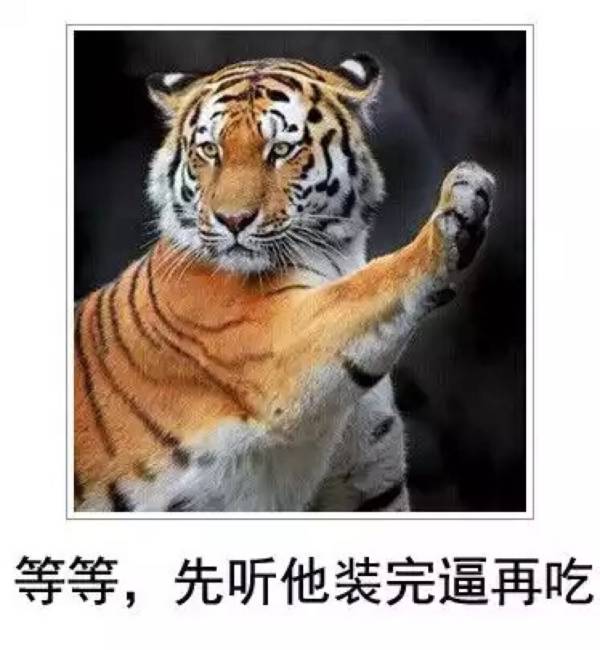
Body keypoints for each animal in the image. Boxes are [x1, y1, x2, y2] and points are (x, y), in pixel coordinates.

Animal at [74, 54, 495, 512]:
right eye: (210, 150)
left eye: (280, 150)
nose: (233, 220)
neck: (338, 256)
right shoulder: (279, 343)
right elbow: (373, 281)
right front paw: (460, 202)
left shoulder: (367, 487)